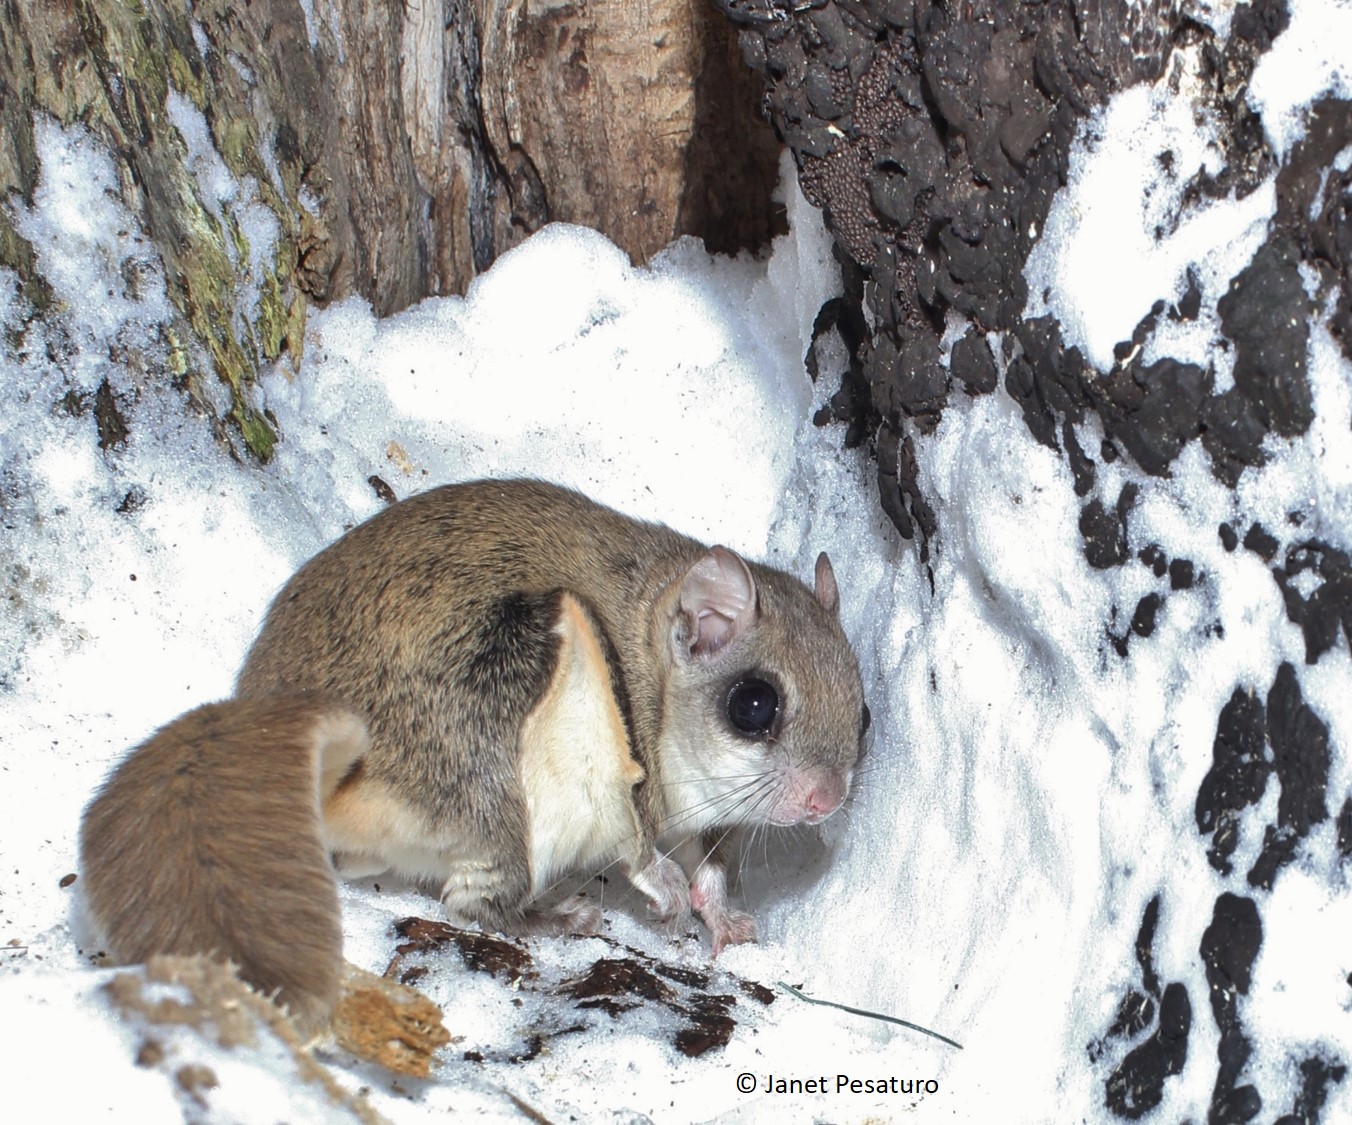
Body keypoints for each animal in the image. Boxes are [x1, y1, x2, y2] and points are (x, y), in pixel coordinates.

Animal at [79, 475, 865, 1027]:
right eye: (754, 705)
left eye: (863, 713)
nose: (825, 798)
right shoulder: (634, 780)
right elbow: (645, 847)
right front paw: (669, 892)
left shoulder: (706, 817)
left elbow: (711, 866)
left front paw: (723, 919)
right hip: (495, 752)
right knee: (471, 902)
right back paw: (561, 917)